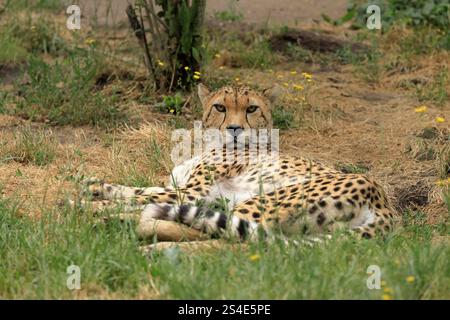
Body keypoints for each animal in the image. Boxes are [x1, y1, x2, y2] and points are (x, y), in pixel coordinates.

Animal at [81, 84, 398, 244]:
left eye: (252, 109)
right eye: (220, 107)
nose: (234, 128)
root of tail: (384, 203)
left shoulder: (193, 193)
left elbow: (141, 197)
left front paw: (88, 204)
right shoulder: (188, 190)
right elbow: (137, 189)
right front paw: (94, 186)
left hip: (259, 202)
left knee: (217, 237)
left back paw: (125, 229)